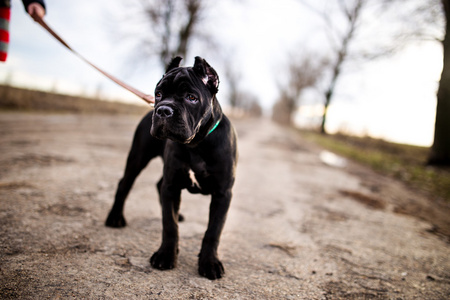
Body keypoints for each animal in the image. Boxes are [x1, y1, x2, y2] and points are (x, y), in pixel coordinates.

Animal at [106, 56, 239, 282]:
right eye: (158, 93)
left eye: (191, 97)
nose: (163, 110)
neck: (197, 144)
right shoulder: (172, 185)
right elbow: (169, 224)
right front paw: (166, 255)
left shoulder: (223, 193)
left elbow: (213, 231)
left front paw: (209, 263)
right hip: (138, 157)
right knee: (125, 184)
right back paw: (115, 217)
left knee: (157, 185)